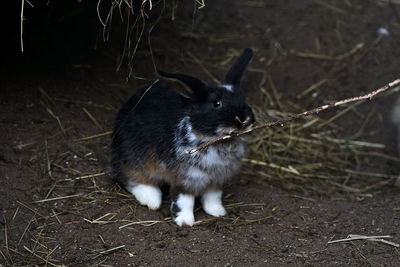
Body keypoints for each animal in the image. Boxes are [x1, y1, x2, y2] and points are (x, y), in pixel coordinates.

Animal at [111, 48, 255, 226]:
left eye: (244, 99)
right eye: (217, 103)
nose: (243, 119)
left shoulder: (216, 181)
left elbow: (213, 198)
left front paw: (218, 212)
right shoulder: (186, 179)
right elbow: (184, 201)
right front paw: (185, 222)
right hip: (134, 159)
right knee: (132, 179)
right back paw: (151, 199)